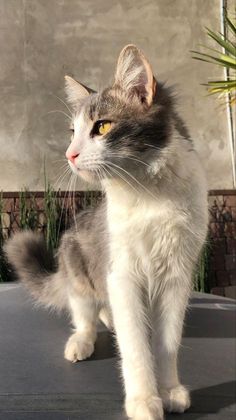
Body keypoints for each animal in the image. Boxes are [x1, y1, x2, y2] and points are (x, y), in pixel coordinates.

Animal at [6, 46, 208, 420]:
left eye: (102, 127)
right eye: (73, 131)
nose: (70, 154)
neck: (148, 193)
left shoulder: (177, 275)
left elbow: (167, 343)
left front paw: (169, 390)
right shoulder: (122, 273)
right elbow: (135, 347)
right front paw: (144, 400)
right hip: (76, 265)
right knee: (84, 316)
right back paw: (82, 341)